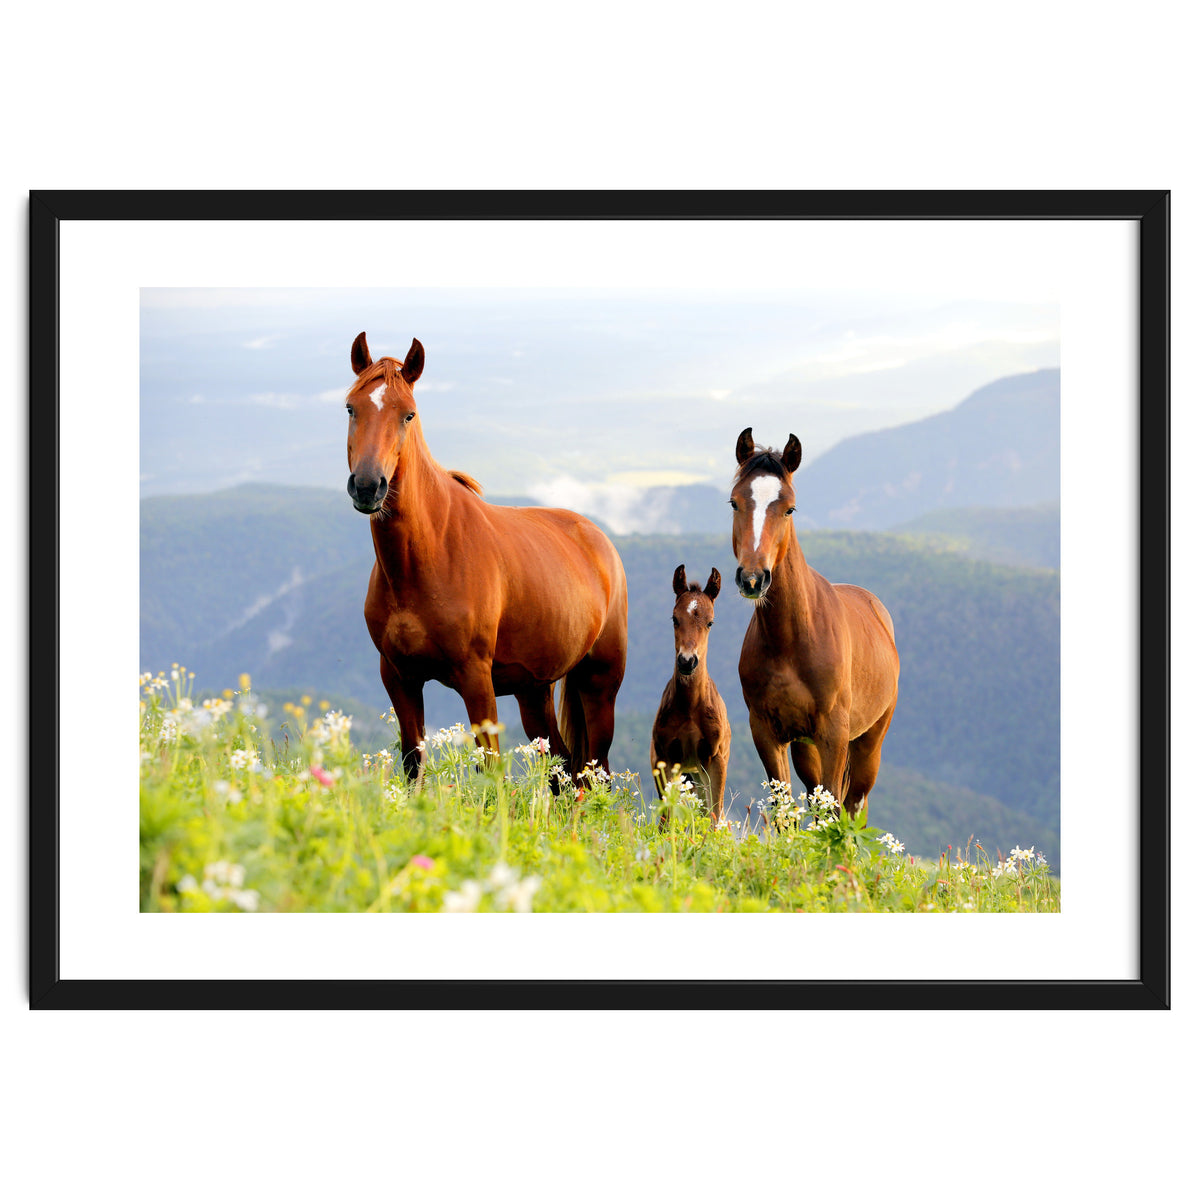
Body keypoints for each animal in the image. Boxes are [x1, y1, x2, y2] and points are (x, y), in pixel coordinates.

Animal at [344, 332, 628, 781]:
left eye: (408, 415)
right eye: (351, 407)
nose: (369, 486)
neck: (427, 558)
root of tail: (600, 541)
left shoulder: (476, 679)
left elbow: (491, 770)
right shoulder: (399, 677)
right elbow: (412, 762)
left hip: (599, 683)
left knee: (592, 772)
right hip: (534, 691)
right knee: (562, 767)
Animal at [650, 565, 731, 825]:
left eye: (710, 622)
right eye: (675, 619)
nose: (687, 661)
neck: (690, 707)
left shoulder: (715, 759)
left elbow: (714, 816)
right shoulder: (665, 758)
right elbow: (666, 818)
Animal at [730, 428, 899, 820]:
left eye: (789, 508)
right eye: (734, 503)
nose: (753, 579)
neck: (791, 639)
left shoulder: (833, 734)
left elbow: (836, 807)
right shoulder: (767, 733)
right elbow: (784, 810)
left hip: (868, 742)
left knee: (854, 804)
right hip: (805, 748)